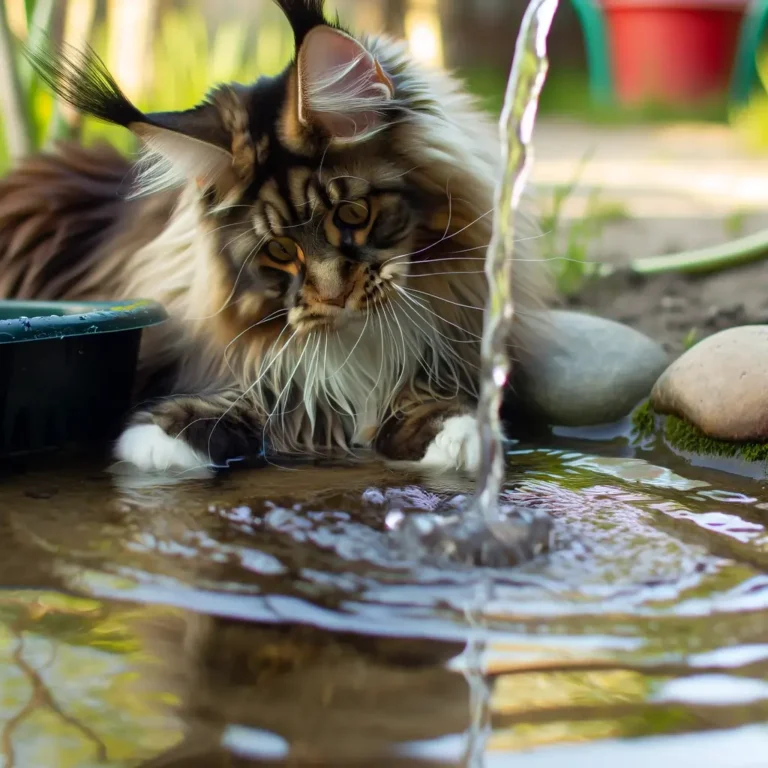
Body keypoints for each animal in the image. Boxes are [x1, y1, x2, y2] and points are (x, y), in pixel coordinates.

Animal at [0, 0, 544, 476]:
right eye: (280, 250)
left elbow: (424, 395)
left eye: (352, 213)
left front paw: (453, 432)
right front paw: (164, 438)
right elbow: (261, 395)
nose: (334, 297)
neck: (362, 348)